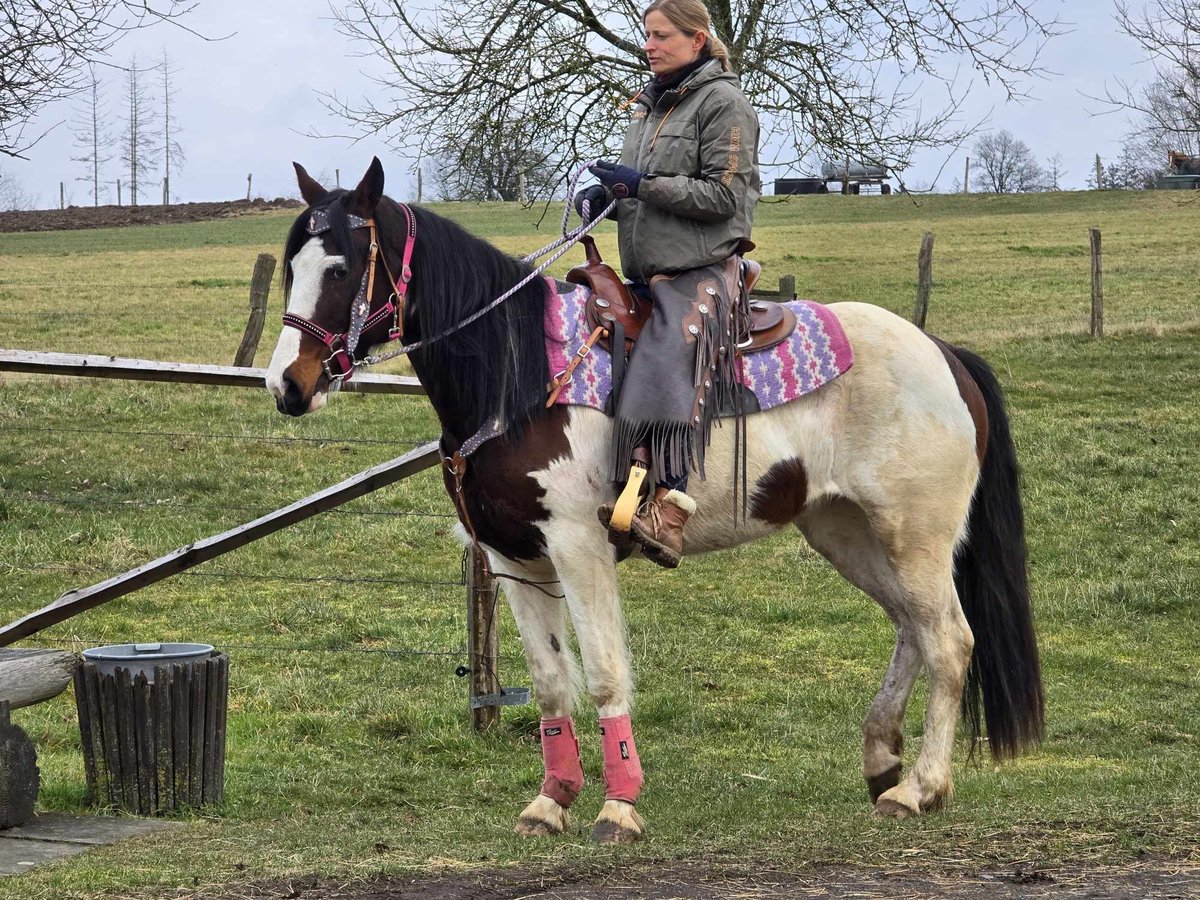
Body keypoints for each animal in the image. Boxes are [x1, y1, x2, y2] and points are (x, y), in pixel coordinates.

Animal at [265, 160, 1041, 844]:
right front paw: (551, 802)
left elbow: (605, 677)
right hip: (847, 532)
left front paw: (619, 807)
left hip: (915, 536)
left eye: (341, 268)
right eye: (292, 266)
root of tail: (943, 354)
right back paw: (883, 761)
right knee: (912, 627)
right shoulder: (514, 560)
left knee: (949, 641)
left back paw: (921, 788)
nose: (286, 386)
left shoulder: (577, 548)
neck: (518, 376)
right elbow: (551, 684)